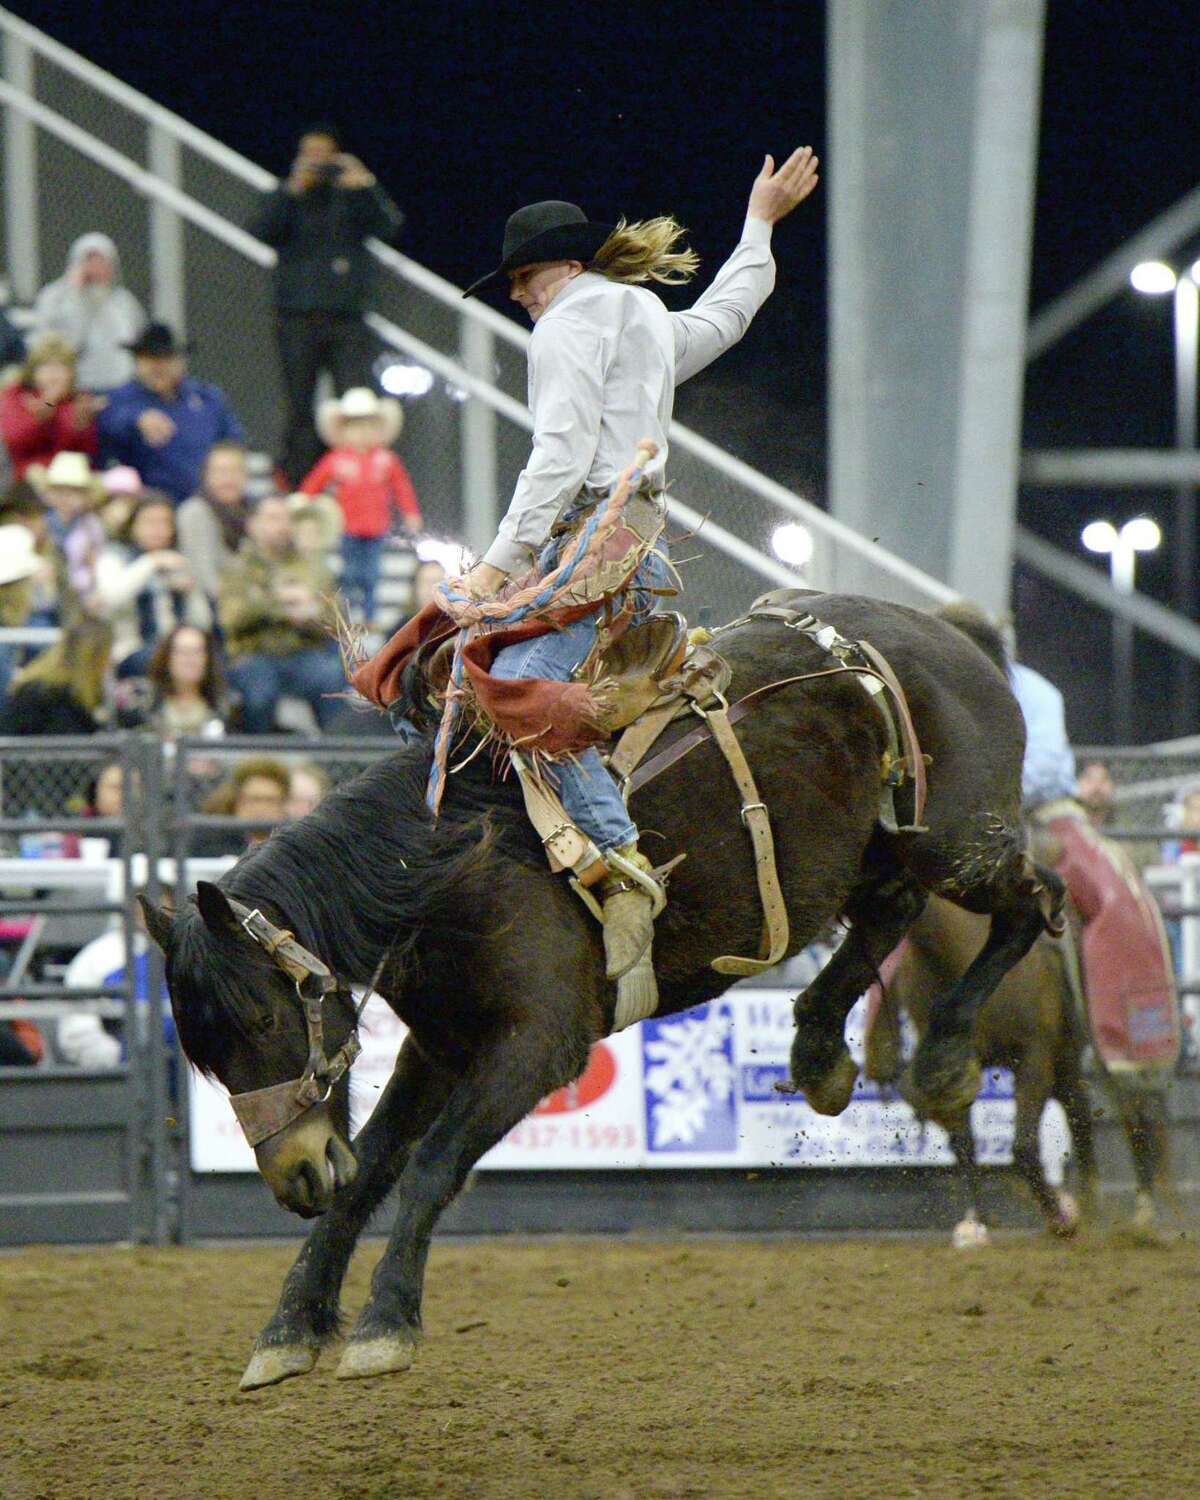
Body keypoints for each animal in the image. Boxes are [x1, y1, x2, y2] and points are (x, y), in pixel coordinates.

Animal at [138, 591, 1062, 1386]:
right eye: (206, 1055)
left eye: (263, 1016)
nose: (293, 1174)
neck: (455, 867)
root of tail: (954, 641)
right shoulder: (438, 1047)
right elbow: (368, 1173)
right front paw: (290, 1328)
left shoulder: (535, 1048)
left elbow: (431, 1167)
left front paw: (385, 1324)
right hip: (882, 852)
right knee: (889, 912)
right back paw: (816, 1052)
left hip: (960, 844)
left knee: (1033, 899)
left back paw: (941, 1059)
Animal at [864, 894, 1170, 1236]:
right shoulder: (952, 1068)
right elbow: (964, 1144)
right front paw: (977, 1220)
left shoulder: (1034, 1055)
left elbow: (1023, 1147)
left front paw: (1060, 1218)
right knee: (1080, 1111)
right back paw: (1093, 1205)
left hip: (1076, 1051)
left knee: (1120, 1109)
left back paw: (1132, 1211)